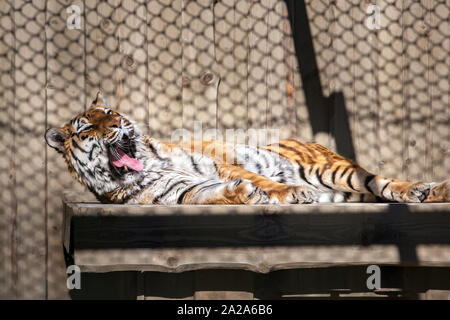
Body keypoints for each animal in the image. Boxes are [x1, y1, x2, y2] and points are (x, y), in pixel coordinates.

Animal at [44, 92, 448, 205]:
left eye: (109, 113)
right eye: (87, 127)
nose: (117, 126)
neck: (150, 164)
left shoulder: (219, 164)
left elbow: (264, 179)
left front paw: (288, 192)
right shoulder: (178, 192)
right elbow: (209, 195)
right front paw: (242, 194)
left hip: (331, 170)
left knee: (385, 183)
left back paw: (424, 190)